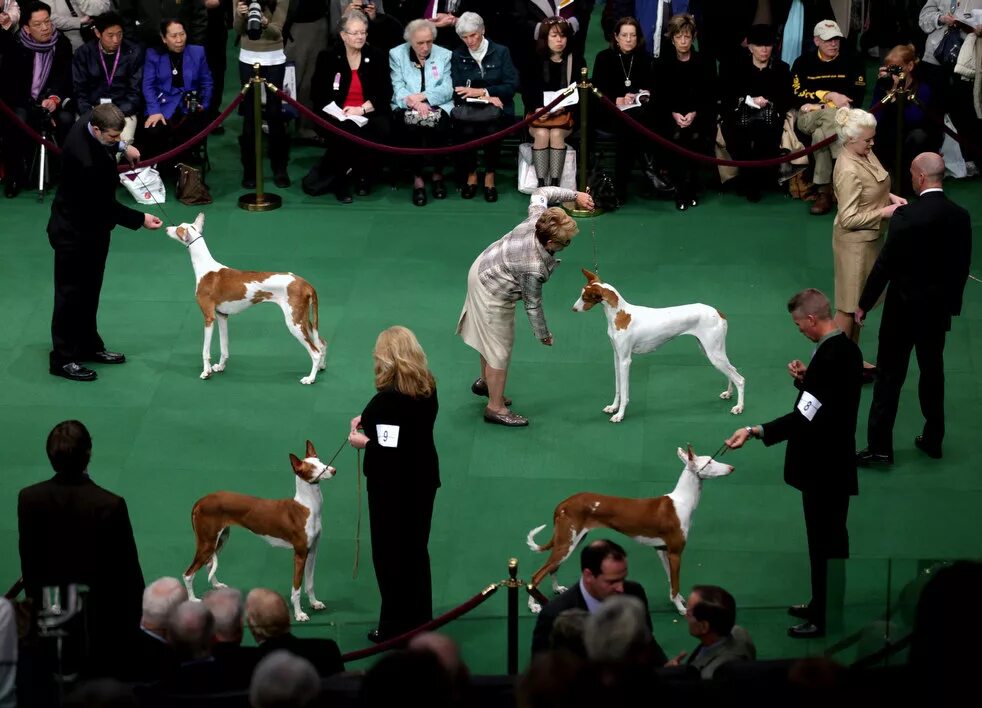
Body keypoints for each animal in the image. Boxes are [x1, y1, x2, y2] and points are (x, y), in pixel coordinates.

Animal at [165, 213, 326, 384]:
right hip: (304, 320)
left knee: (315, 352)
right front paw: (220, 367)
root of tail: (306, 284)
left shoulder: (209, 317)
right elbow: (224, 348)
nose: (166, 228)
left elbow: (205, 351)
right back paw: (321, 367)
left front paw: (206, 372)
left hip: (294, 323)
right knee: (322, 344)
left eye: (178, 228)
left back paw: (310, 378)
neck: (205, 267)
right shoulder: (222, 316)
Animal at [183, 440, 336, 624]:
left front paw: (314, 603)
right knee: (188, 574)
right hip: (207, 542)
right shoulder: (299, 554)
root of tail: (201, 500)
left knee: (208, 564)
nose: (333, 470)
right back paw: (192, 600)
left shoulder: (312, 551)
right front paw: (299, 614)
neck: (306, 506)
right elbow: (297, 589)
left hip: (220, 539)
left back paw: (216, 586)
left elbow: (310, 583)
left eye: (320, 461)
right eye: (313, 468)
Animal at [528, 448, 736, 612]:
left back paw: (557, 589)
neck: (682, 501)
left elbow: (671, 580)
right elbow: (676, 583)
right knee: (537, 575)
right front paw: (681, 609)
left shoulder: (662, 550)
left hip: (572, 541)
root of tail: (562, 504)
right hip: (567, 544)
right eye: (709, 462)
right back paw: (534, 605)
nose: (731, 468)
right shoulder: (676, 553)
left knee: (552, 568)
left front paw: (677, 600)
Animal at [576, 266, 744, 420]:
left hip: (714, 354)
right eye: (581, 294)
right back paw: (729, 393)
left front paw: (620, 414)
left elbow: (624, 392)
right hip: (712, 351)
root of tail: (718, 312)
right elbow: (618, 389)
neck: (620, 314)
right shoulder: (617, 357)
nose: (573, 308)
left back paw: (739, 407)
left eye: (585, 297)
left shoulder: (625, 361)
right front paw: (613, 407)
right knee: (732, 370)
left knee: (740, 379)